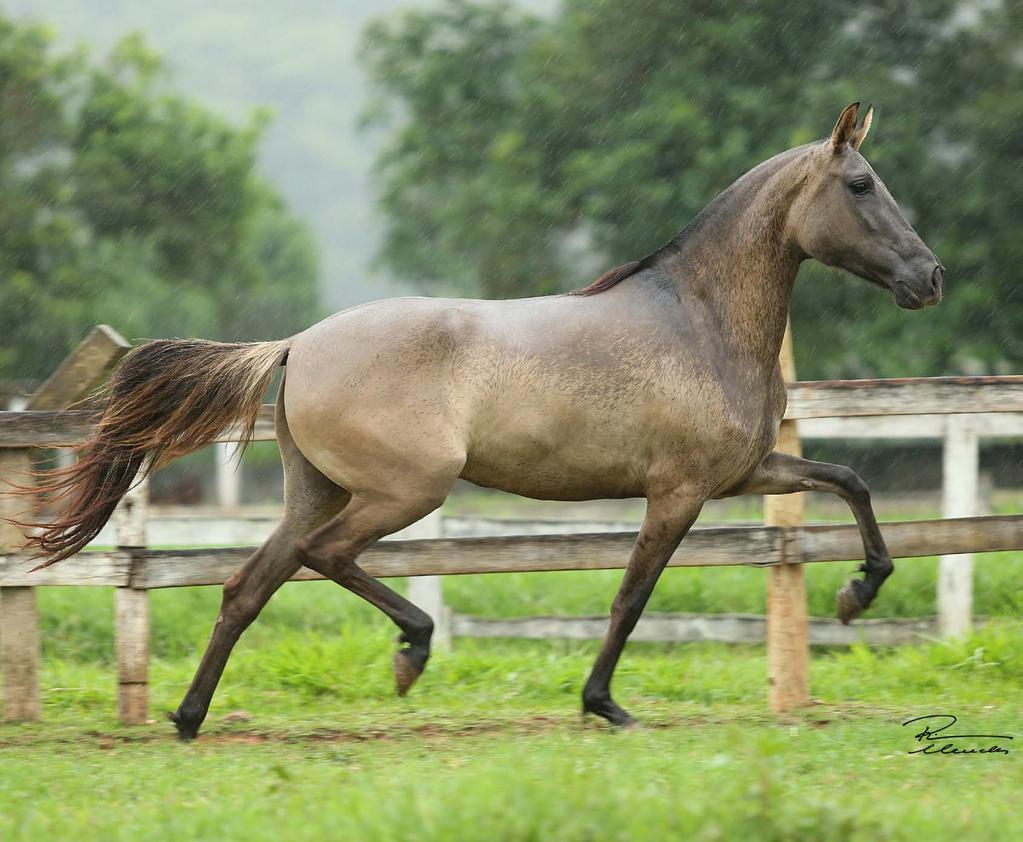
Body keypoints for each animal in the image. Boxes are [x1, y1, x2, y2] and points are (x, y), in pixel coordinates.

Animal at [18, 103, 941, 736]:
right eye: (860, 185)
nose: (928, 278)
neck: (699, 319)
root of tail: (297, 344)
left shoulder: (746, 473)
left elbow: (850, 479)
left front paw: (856, 594)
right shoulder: (677, 491)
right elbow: (630, 597)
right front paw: (604, 705)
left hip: (315, 490)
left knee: (249, 585)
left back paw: (188, 717)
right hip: (406, 490)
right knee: (325, 558)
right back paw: (410, 653)